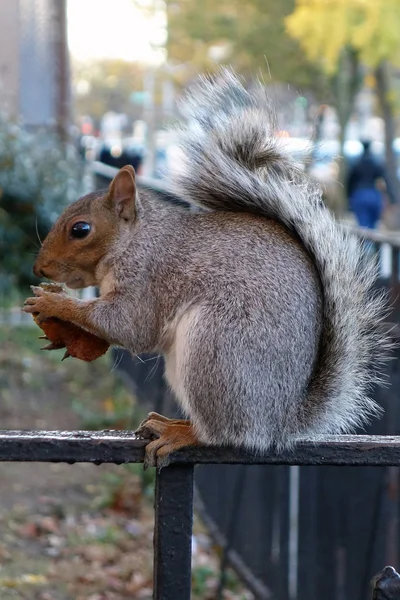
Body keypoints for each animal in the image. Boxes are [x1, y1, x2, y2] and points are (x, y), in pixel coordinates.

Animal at [23, 67, 390, 468]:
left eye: (81, 229)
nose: (40, 269)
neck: (134, 240)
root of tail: (277, 424)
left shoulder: (147, 279)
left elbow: (130, 326)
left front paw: (56, 304)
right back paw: (172, 421)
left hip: (215, 347)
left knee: (224, 433)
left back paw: (181, 433)